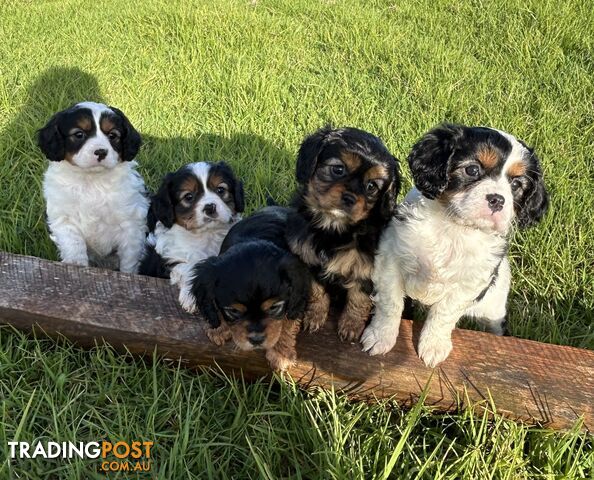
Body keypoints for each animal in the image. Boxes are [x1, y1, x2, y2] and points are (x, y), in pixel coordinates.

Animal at [38, 101, 147, 274]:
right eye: (79, 134)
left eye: (112, 136)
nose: (101, 152)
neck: (92, 180)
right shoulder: (64, 220)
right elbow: (74, 248)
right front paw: (76, 267)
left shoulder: (130, 224)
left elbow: (129, 260)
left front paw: (128, 275)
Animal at [178, 206, 312, 372]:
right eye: (233, 311)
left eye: (274, 307)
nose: (257, 339)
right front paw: (219, 329)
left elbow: (288, 321)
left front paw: (281, 354)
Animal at [286, 124, 398, 342]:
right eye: (338, 170)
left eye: (372, 187)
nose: (350, 198)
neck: (334, 228)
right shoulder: (309, 262)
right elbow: (317, 291)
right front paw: (315, 317)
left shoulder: (365, 271)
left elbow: (358, 299)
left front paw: (350, 327)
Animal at [358, 124, 548, 368]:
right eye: (472, 170)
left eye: (516, 185)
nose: (497, 199)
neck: (455, 228)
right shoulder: (391, 258)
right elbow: (390, 304)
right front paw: (380, 337)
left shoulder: (470, 283)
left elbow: (443, 314)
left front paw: (433, 346)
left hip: (493, 306)